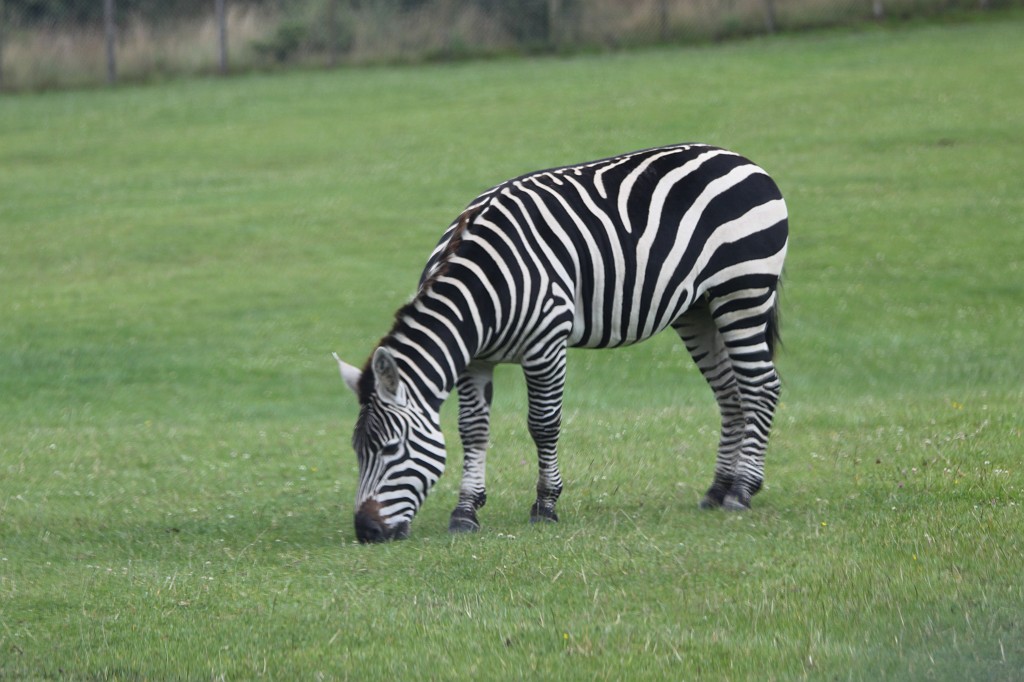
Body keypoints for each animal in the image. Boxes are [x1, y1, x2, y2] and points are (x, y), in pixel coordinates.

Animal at [334, 143, 788, 543]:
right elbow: (473, 430)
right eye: (357, 452)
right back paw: (717, 489)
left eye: (391, 449)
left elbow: (543, 425)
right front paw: (465, 512)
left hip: (743, 291)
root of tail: (739, 158)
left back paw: (742, 491)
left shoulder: (546, 345)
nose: (366, 532)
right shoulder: (475, 360)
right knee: (730, 393)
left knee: (760, 387)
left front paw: (545, 506)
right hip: (698, 309)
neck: (481, 292)